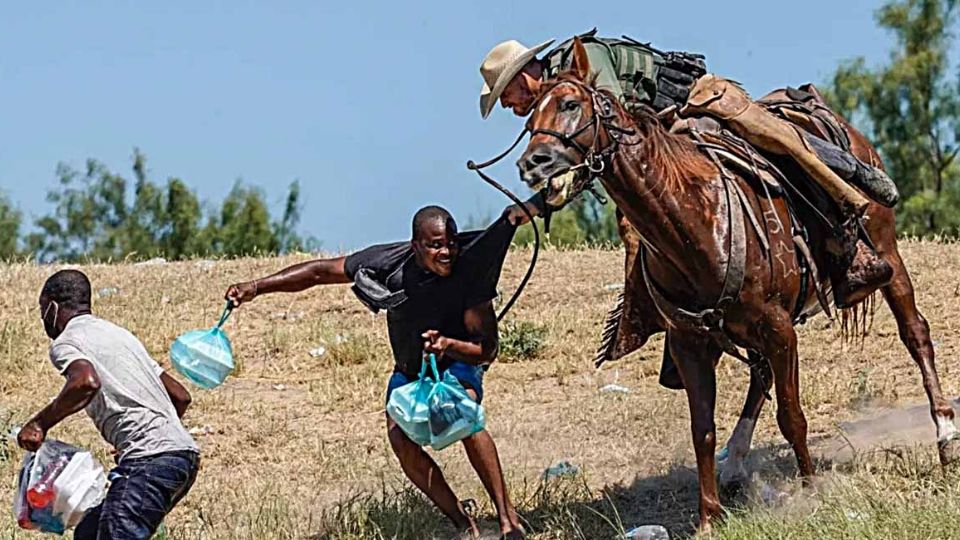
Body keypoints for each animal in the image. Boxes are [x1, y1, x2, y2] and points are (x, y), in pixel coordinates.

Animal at [512, 39, 956, 532]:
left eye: (571, 104)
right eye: (529, 120)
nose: (532, 163)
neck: (695, 223)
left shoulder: (779, 328)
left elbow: (792, 416)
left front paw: (812, 491)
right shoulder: (690, 343)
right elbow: (702, 430)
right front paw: (708, 517)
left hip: (887, 254)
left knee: (915, 334)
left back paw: (945, 437)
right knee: (760, 377)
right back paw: (736, 463)